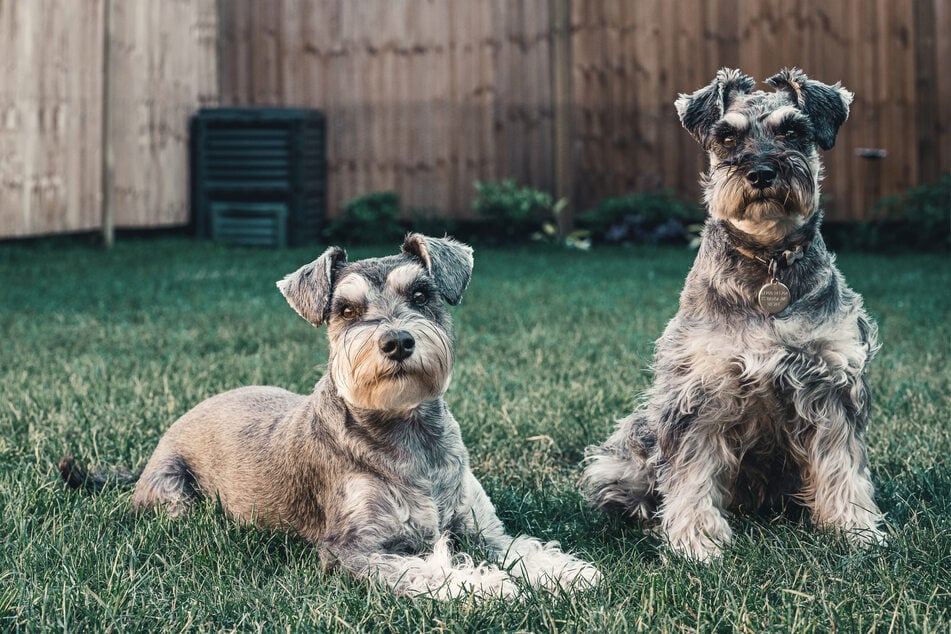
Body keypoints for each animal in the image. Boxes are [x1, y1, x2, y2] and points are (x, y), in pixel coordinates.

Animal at [59, 233, 600, 596]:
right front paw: (487, 587)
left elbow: (521, 547)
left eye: (421, 295)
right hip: (176, 498)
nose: (397, 341)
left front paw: (568, 572)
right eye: (346, 310)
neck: (410, 434)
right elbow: (423, 569)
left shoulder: (482, 528)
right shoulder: (351, 549)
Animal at [584, 69, 888, 560]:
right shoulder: (701, 390)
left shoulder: (832, 384)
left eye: (793, 131)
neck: (768, 261)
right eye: (727, 136)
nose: (761, 173)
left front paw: (855, 528)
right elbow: (691, 472)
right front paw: (696, 540)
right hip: (628, 448)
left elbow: (842, 464)